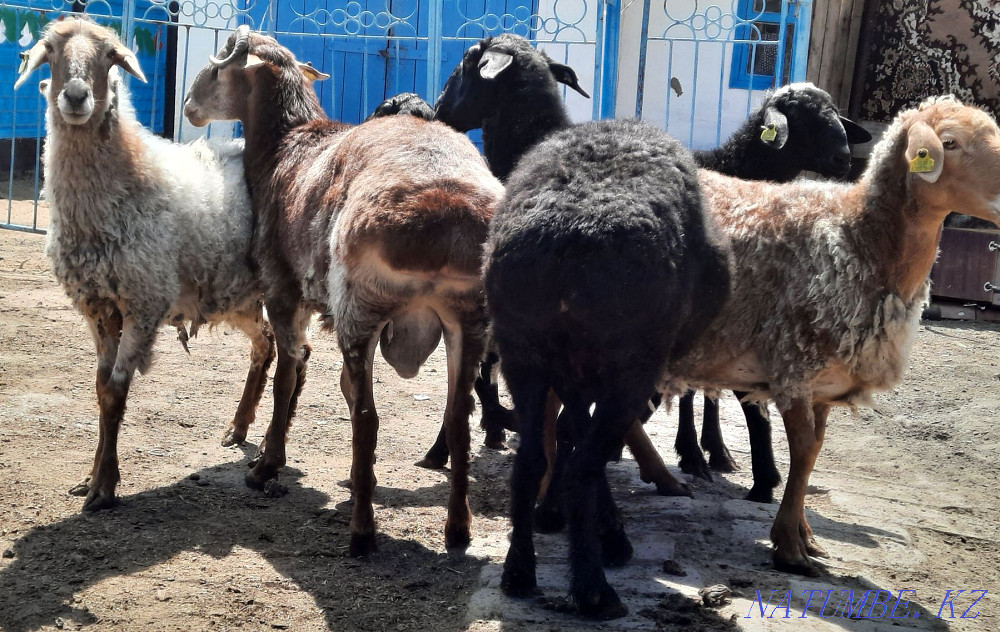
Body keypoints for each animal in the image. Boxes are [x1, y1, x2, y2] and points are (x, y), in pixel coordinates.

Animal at [13, 18, 274, 512]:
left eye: (111, 56)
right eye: (51, 49)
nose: (75, 96)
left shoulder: (144, 301)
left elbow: (116, 390)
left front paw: (103, 487)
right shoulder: (97, 306)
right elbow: (100, 388)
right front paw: (91, 476)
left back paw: (269, 450)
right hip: (239, 297)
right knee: (265, 345)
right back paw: (239, 427)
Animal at [182, 26, 504, 555]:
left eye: (214, 68)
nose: (188, 108)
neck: (284, 146)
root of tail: (444, 216)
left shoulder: (284, 287)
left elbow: (287, 374)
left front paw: (266, 464)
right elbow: (321, 380)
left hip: (361, 309)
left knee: (368, 421)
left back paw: (362, 532)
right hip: (468, 320)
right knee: (457, 418)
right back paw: (458, 529)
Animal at [487, 117, 731, 619]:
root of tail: (566, 236)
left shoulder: (573, 378)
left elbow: (570, 432)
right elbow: (585, 446)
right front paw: (610, 538)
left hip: (524, 355)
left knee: (532, 459)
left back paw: (519, 572)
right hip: (626, 369)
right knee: (582, 465)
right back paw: (595, 589)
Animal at [664, 96, 1000, 575]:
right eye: (948, 143)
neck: (855, 238)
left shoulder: (823, 385)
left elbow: (814, 453)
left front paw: (805, 536)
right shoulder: (795, 368)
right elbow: (803, 451)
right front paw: (789, 547)